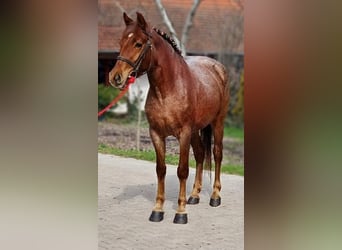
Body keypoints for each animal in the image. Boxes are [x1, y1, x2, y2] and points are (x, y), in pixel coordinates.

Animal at [108, 12, 228, 225]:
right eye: (121, 42)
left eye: (138, 44)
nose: (115, 77)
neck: (168, 89)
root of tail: (217, 67)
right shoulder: (156, 134)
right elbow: (161, 169)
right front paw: (157, 210)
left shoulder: (184, 134)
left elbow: (182, 170)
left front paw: (180, 212)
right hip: (196, 131)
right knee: (200, 154)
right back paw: (194, 196)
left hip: (217, 123)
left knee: (217, 154)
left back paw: (215, 196)